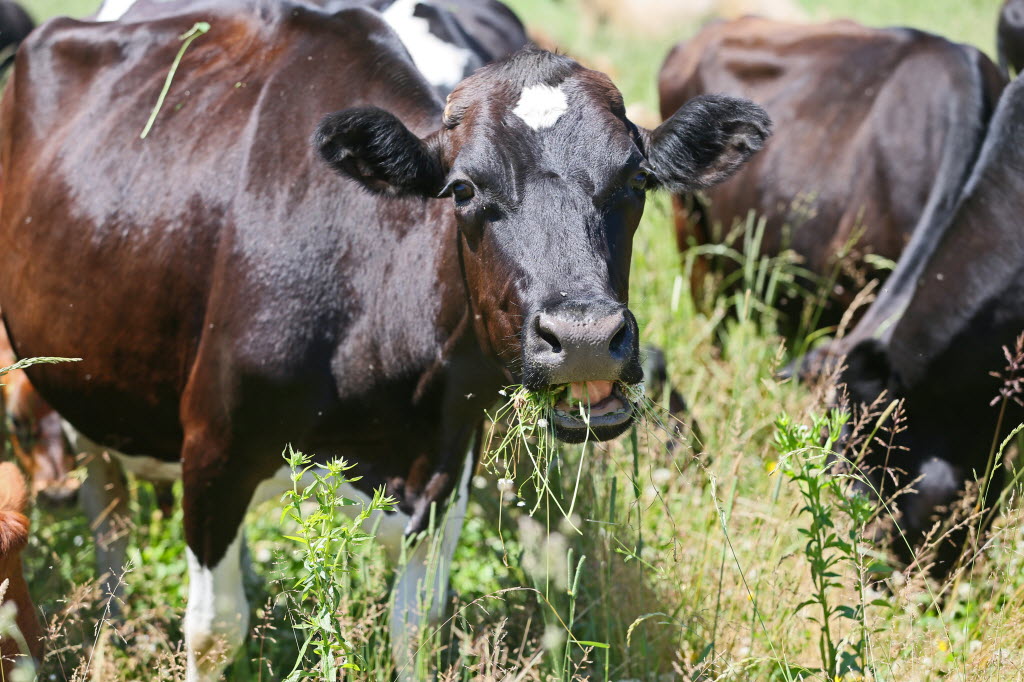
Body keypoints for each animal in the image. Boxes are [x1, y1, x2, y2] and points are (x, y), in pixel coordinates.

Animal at [0, 3, 770, 679]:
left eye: (635, 179)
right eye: (462, 189)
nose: (583, 335)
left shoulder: (447, 459)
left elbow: (417, 625)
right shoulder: (215, 450)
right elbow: (216, 630)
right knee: (108, 512)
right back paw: (110, 626)